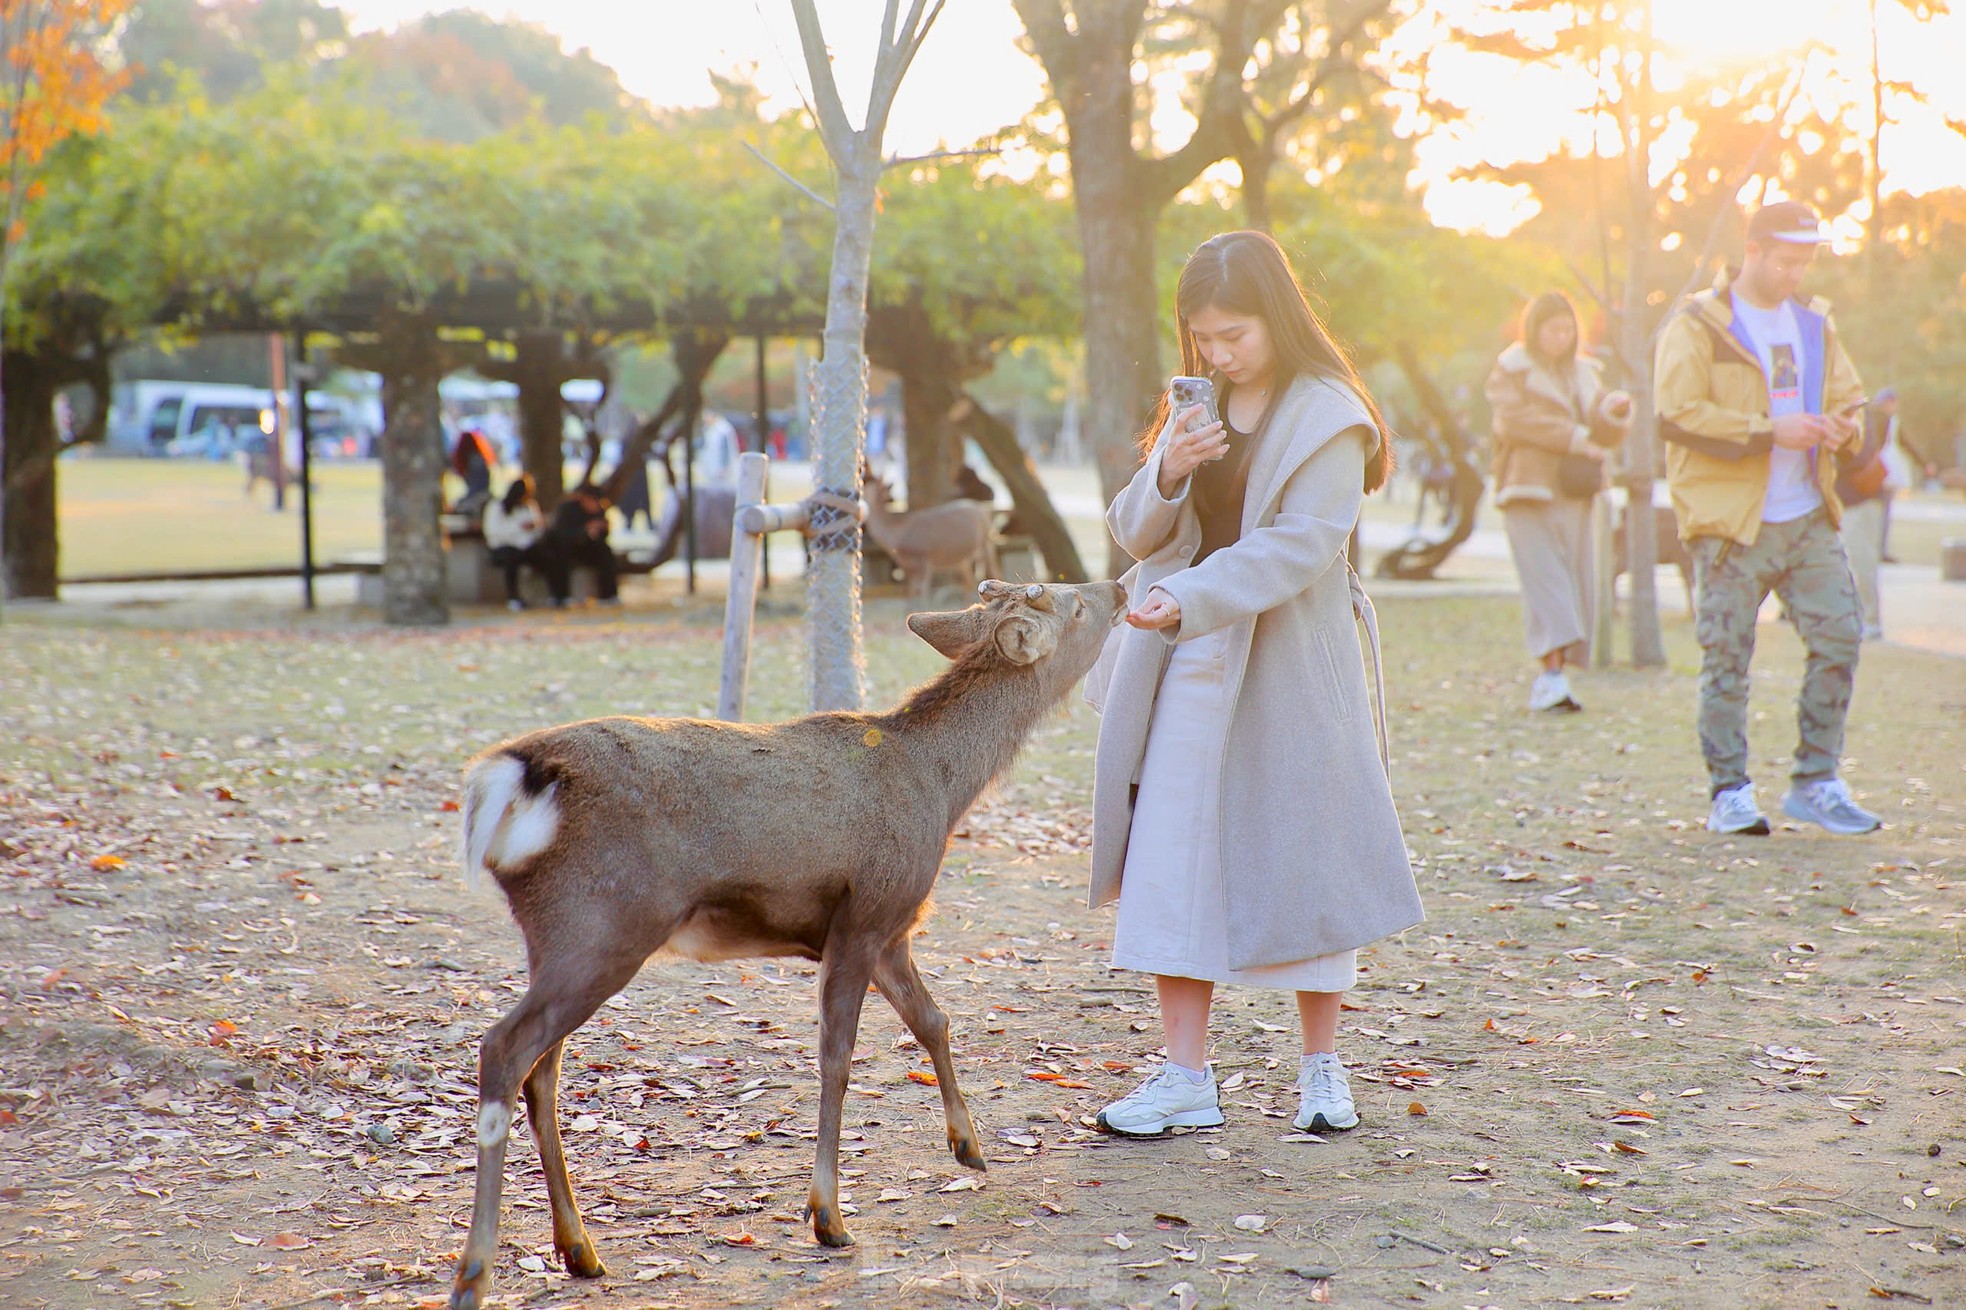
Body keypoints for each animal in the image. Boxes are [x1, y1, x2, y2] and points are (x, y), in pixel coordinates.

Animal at [446, 578, 1124, 1298]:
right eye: (1073, 605)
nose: (1116, 585)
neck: (941, 789)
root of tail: (509, 779)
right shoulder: (865, 914)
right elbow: (838, 1056)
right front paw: (828, 1216)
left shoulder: (890, 930)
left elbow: (933, 1021)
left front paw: (968, 1146)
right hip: (603, 923)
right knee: (505, 1048)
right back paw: (476, 1272)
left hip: (558, 938)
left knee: (542, 1070)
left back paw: (580, 1249)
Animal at [865, 474, 998, 601]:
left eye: (866, 491)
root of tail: (984, 510)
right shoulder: (908, 567)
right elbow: (910, 593)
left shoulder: (925, 558)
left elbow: (923, 591)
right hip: (963, 558)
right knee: (968, 580)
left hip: (987, 541)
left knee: (994, 570)